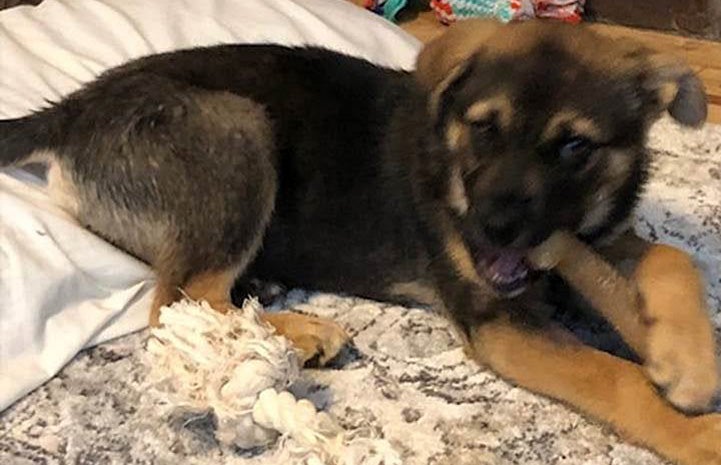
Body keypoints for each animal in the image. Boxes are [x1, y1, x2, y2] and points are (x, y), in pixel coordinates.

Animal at [1, 19, 720, 464]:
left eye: (575, 146)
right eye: (483, 129)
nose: (489, 230)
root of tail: (71, 110)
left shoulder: (595, 241)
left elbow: (672, 256)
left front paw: (684, 361)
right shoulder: (497, 320)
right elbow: (612, 374)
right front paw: (697, 432)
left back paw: (265, 296)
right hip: (235, 127)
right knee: (175, 303)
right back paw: (298, 331)